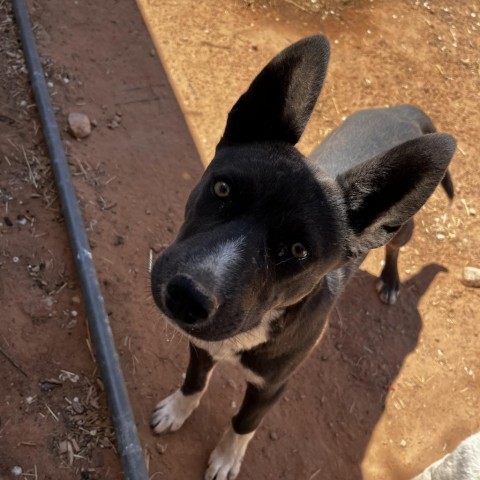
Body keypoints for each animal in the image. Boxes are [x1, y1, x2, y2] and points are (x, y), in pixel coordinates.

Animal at [149, 35, 454, 478]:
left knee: (395, 249)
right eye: (222, 188)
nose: (186, 296)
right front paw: (177, 410)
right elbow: (194, 381)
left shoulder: (272, 388)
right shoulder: (200, 346)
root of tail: (402, 110)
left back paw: (390, 281)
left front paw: (226, 458)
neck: (258, 326)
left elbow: (244, 422)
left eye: (298, 251)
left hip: (405, 228)